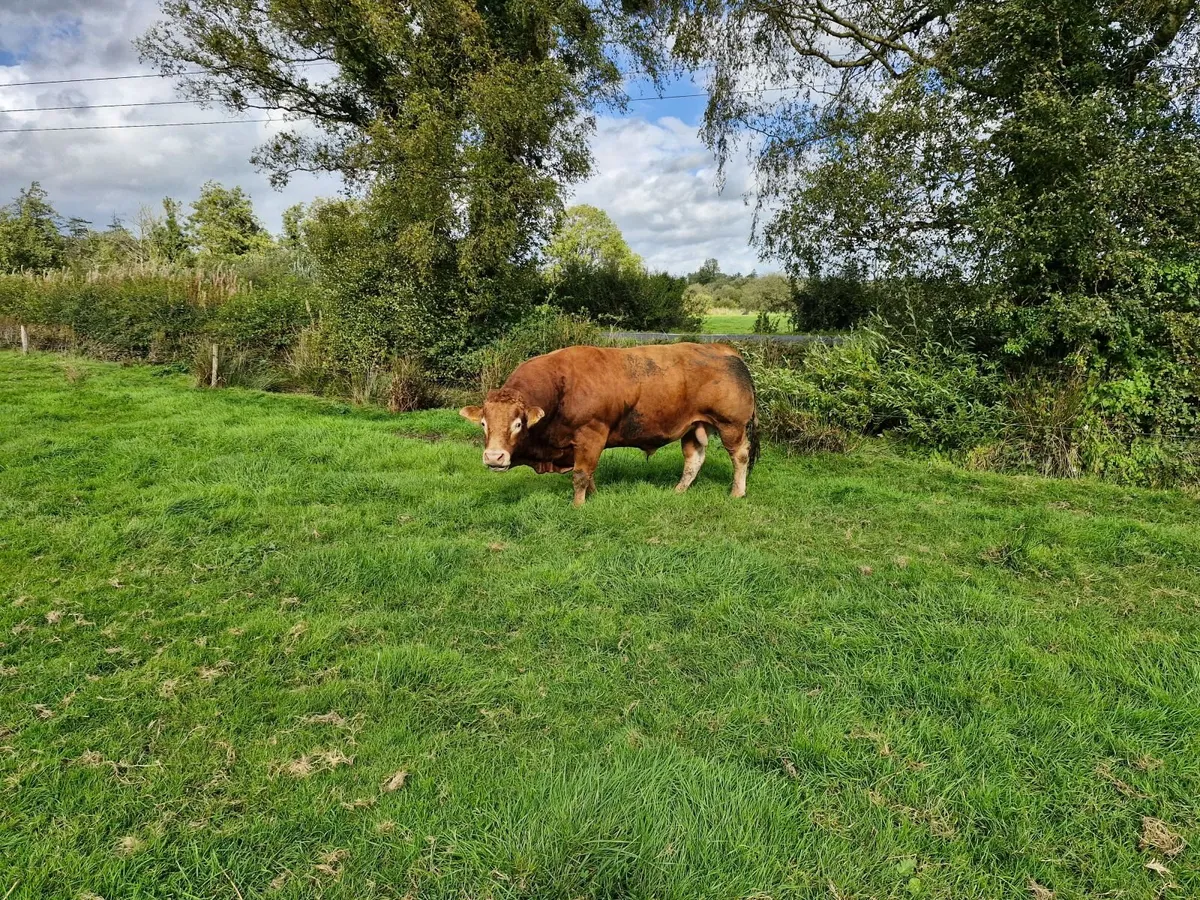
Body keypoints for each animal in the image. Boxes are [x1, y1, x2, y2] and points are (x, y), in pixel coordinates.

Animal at [459, 342, 759, 505]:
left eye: (518, 424)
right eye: (483, 423)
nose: (494, 457)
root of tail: (723, 348)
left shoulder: (591, 434)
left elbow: (581, 474)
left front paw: (578, 505)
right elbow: (588, 473)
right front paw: (594, 496)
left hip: (731, 425)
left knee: (740, 456)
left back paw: (737, 493)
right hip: (694, 427)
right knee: (694, 459)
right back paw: (679, 490)